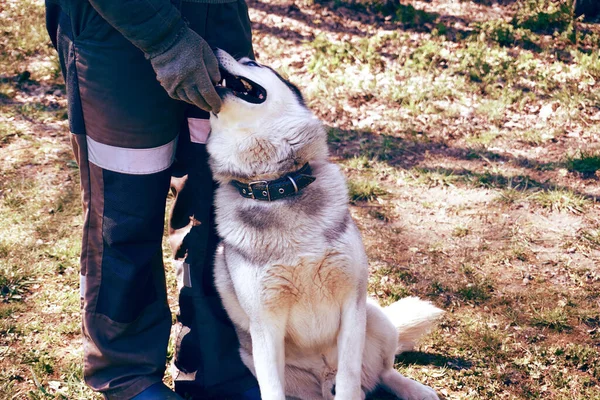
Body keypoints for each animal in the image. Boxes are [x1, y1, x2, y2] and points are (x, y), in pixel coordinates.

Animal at [206, 50, 446, 400]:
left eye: (250, 62)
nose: (214, 50)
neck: (279, 187)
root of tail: (323, 376)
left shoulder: (351, 305)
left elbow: (349, 378)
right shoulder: (266, 326)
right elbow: (272, 389)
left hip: (375, 318)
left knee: (383, 372)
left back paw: (414, 389)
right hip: (259, 360)